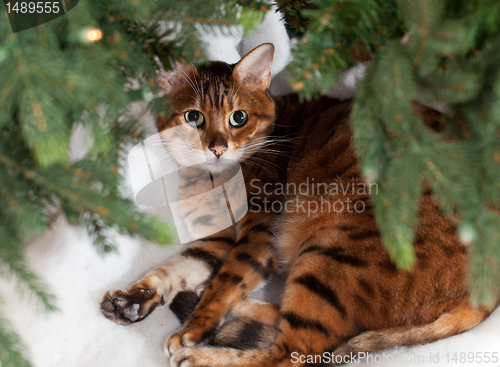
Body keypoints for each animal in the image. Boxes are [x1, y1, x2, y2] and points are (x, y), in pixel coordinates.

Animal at [100, 43, 496, 367]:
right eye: (193, 117)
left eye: (238, 117)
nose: (217, 148)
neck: (212, 178)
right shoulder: (218, 238)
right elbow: (176, 267)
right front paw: (133, 299)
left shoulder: (258, 234)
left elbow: (226, 281)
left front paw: (193, 329)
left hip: (330, 254)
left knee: (296, 353)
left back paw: (201, 355)